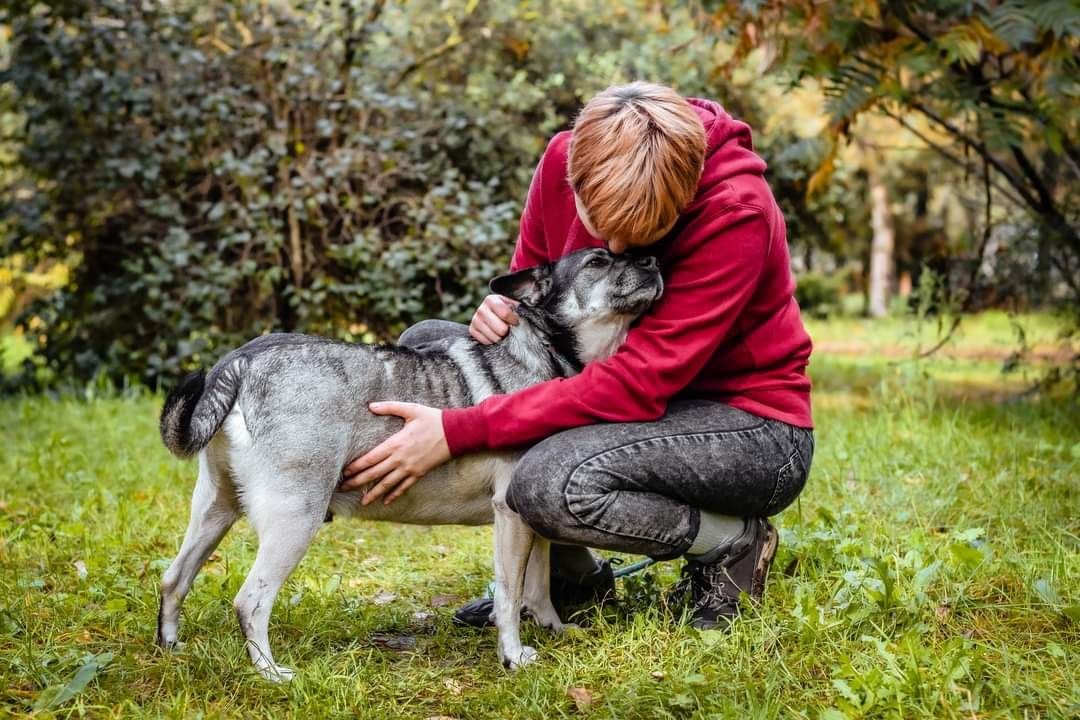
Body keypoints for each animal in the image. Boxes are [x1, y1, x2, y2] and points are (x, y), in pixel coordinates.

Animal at [156, 248, 660, 682]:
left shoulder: (527, 523)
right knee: (250, 602)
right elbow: (510, 595)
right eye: (597, 261)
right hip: (294, 517)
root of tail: (242, 360)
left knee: (173, 579)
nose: (654, 260)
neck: (546, 349)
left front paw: (553, 630)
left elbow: (535, 588)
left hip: (215, 509)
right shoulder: (510, 516)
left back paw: (171, 646)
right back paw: (270, 673)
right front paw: (512, 656)